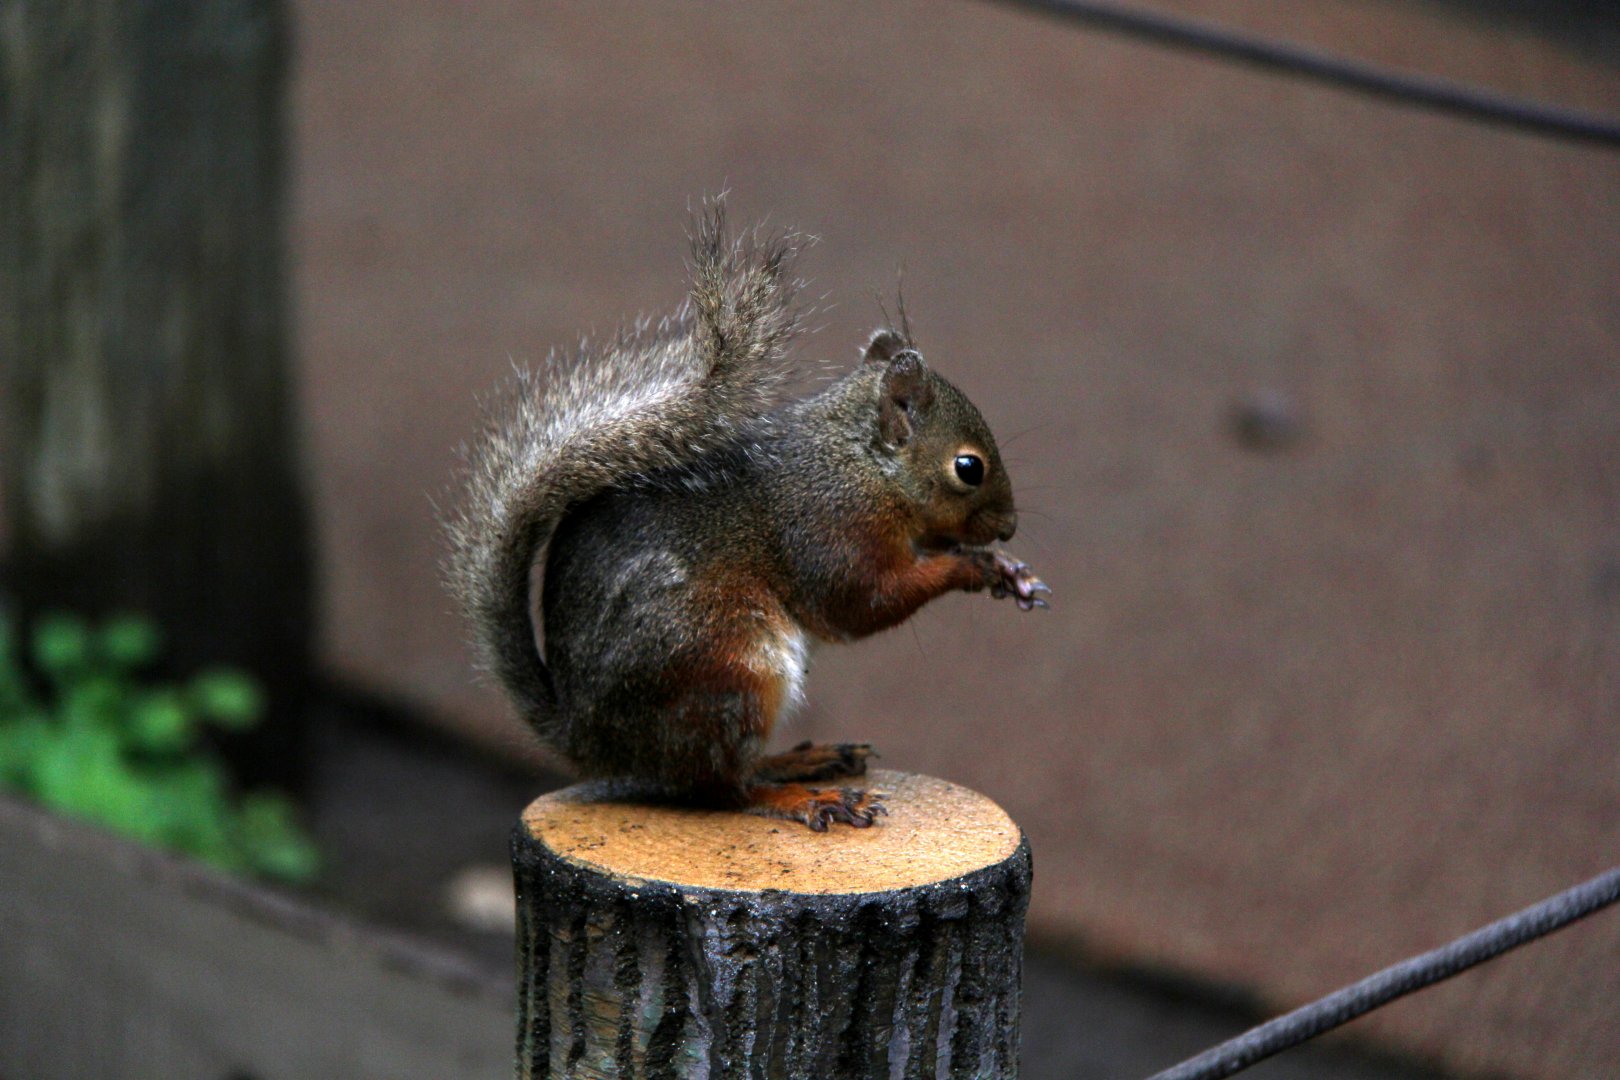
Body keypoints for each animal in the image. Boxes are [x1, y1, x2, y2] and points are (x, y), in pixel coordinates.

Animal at [445, 206, 1048, 830]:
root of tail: (594, 742)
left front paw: (1007, 568)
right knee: (722, 789)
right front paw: (973, 568)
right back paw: (804, 796)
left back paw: (802, 761)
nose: (1008, 528)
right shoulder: (830, 527)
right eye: (968, 468)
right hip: (727, 669)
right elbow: (862, 603)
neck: (862, 463)